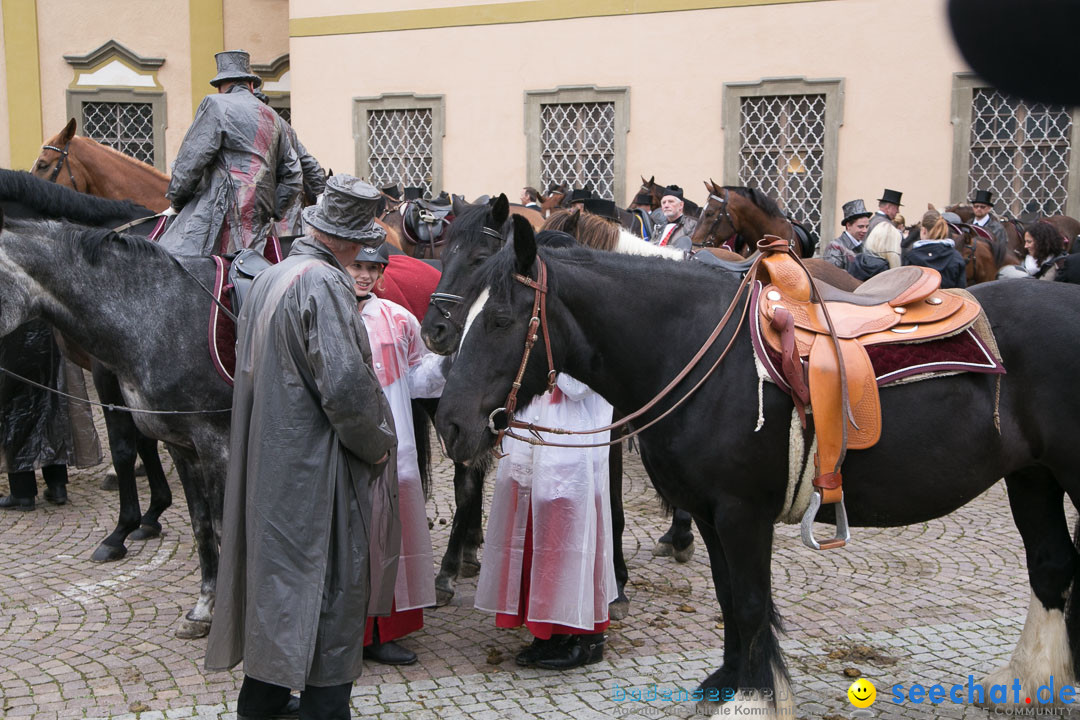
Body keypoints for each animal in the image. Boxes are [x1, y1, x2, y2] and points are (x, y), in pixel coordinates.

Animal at [0, 169, 172, 561]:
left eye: (44, 164)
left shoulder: (108, 372)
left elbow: (124, 446)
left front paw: (121, 530)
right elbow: (144, 440)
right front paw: (152, 515)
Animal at [0, 212, 227, 634]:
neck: (161, 315)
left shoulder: (215, 441)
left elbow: (222, 523)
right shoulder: (182, 444)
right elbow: (202, 524)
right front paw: (203, 609)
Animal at [434, 216, 1080, 716]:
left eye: (500, 320)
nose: (450, 424)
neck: (695, 351)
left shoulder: (742, 514)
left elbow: (747, 601)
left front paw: (755, 698)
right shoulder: (710, 514)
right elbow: (727, 597)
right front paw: (728, 685)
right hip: (1032, 476)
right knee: (1051, 564)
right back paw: (1027, 683)